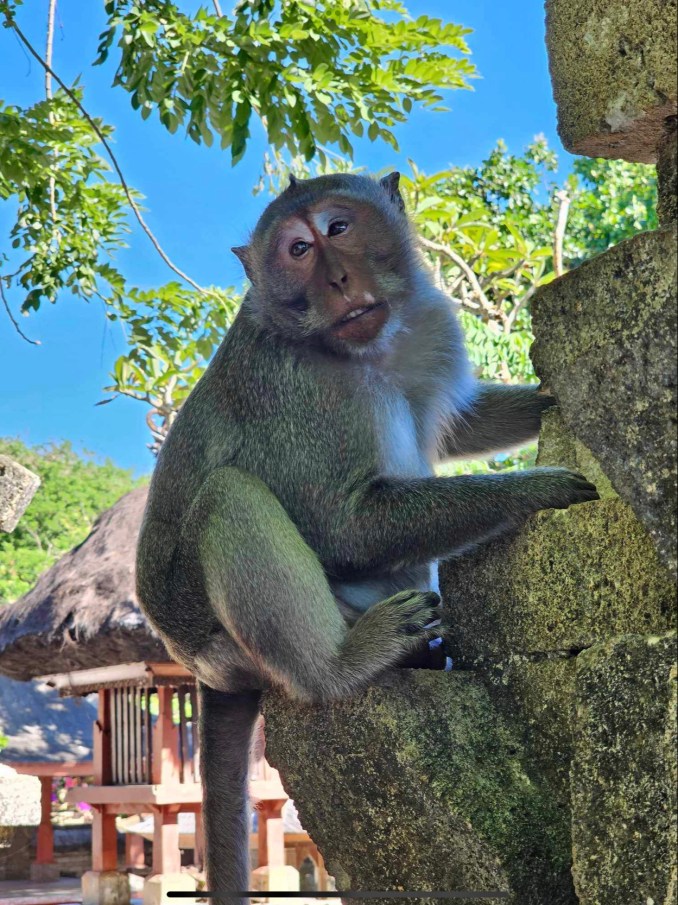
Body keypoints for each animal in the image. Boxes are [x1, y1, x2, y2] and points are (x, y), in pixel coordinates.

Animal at [134, 173, 600, 900]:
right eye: (298, 250)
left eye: (338, 229)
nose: (337, 278)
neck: (365, 349)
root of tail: (195, 664)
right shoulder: (295, 393)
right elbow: (341, 525)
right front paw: (536, 488)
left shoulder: (427, 330)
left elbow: (459, 422)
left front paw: (549, 396)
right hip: (217, 629)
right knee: (229, 496)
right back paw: (340, 665)